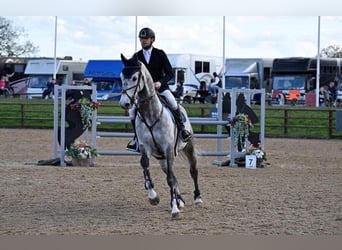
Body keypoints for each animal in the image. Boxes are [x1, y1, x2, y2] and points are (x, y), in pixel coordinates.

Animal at [119, 53, 202, 218]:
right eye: (121, 77)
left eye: (135, 78)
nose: (124, 103)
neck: (151, 113)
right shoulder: (146, 147)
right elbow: (145, 166)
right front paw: (153, 197)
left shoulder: (168, 148)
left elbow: (170, 178)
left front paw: (174, 209)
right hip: (162, 158)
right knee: (172, 175)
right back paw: (180, 200)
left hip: (188, 148)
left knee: (192, 171)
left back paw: (197, 198)